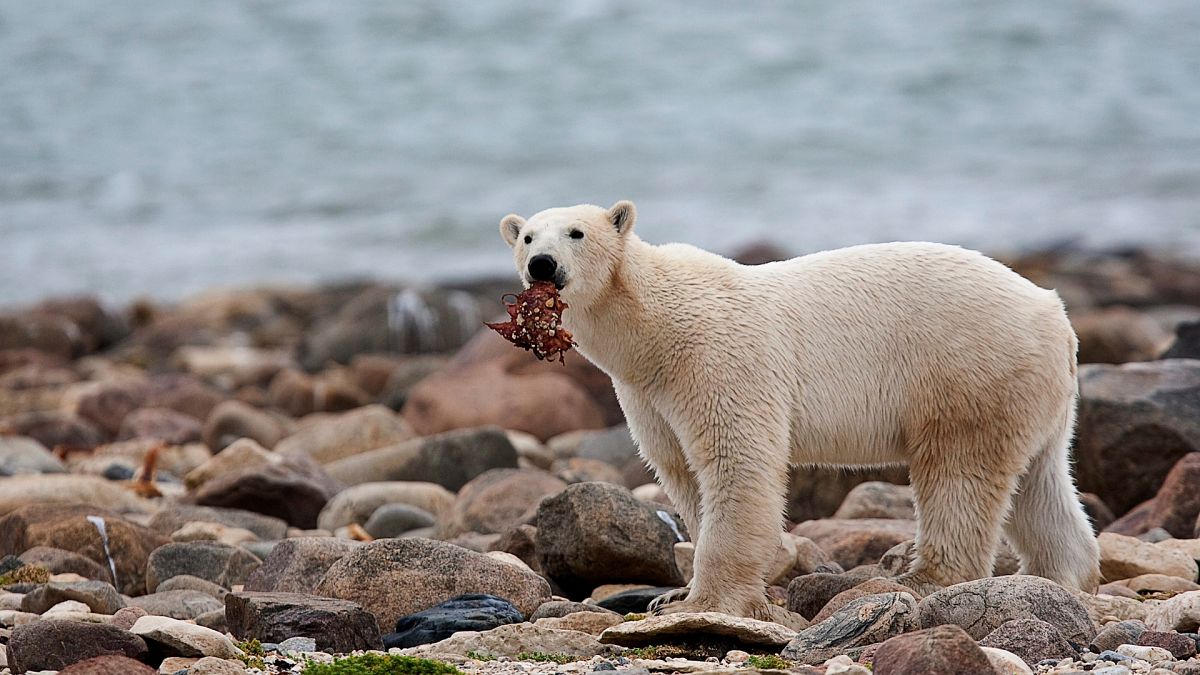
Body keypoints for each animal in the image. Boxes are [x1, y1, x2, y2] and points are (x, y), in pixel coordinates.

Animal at [494, 199, 1099, 619]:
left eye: (576, 232)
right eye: (526, 236)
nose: (542, 264)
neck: (653, 326)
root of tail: (1054, 312)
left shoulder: (717, 359)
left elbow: (736, 462)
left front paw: (704, 601)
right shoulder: (647, 393)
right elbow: (681, 470)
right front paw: (672, 597)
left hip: (967, 369)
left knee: (958, 473)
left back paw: (922, 578)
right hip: (1031, 392)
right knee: (1041, 482)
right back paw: (1062, 577)